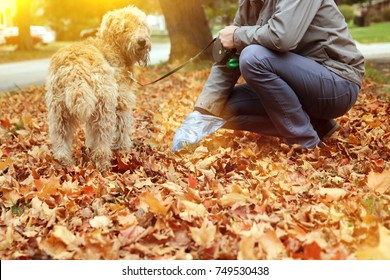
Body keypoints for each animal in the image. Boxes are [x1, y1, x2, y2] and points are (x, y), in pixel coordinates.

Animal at [45, 6, 150, 171]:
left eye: (140, 24)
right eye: (125, 27)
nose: (142, 41)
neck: (112, 47)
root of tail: (75, 66)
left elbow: (90, 133)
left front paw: (90, 148)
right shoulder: (121, 104)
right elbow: (122, 130)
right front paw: (123, 150)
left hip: (59, 111)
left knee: (60, 138)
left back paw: (65, 162)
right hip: (104, 108)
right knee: (102, 139)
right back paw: (104, 164)